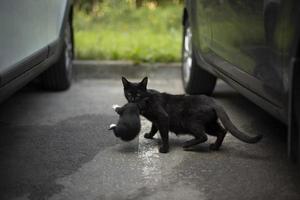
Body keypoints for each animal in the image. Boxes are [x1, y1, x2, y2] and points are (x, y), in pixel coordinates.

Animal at [122, 76, 262, 153]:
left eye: (138, 94)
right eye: (129, 94)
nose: (132, 100)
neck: (147, 100)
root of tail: (212, 100)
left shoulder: (162, 118)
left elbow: (164, 135)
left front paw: (164, 149)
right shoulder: (156, 121)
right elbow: (154, 128)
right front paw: (149, 135)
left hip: (190, 122)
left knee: (203, 136)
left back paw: (187, 144)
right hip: (210, 124)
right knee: (222, 131)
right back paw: (215, 147)